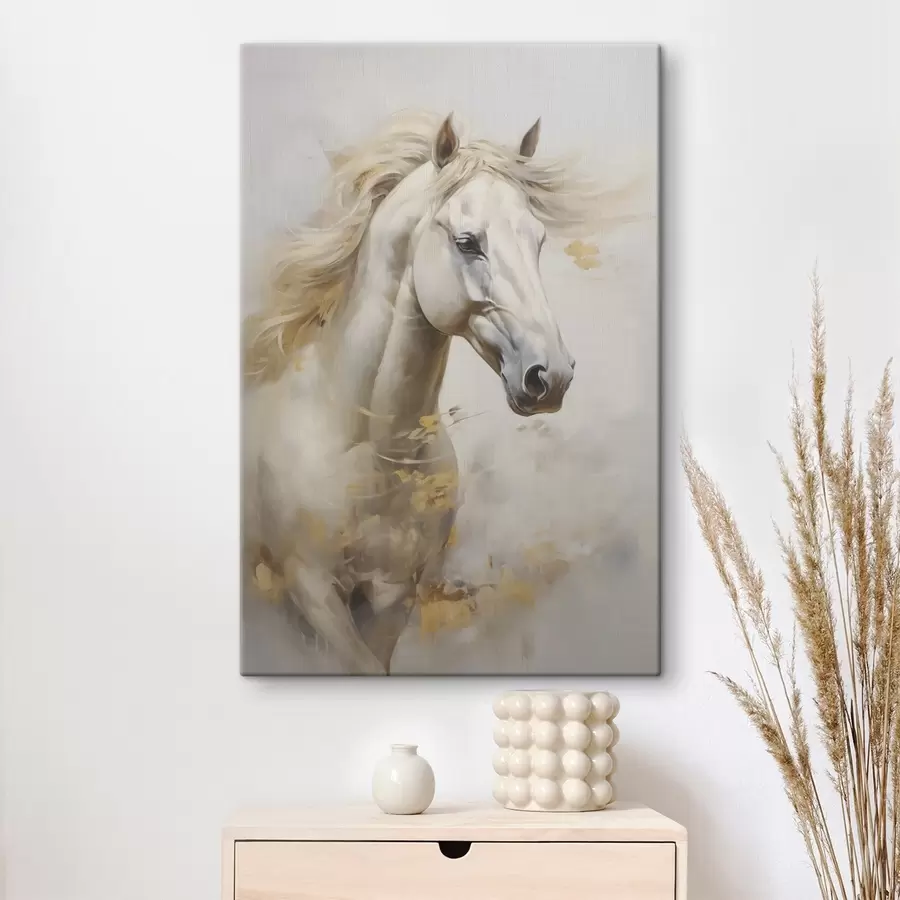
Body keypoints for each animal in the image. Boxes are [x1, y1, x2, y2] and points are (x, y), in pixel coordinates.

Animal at [243, 111, 598, 674]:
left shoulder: (394, 594)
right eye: (468, 242)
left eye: (538, 240)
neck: (371, 455)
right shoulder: (312, 592)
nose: (551, 376)